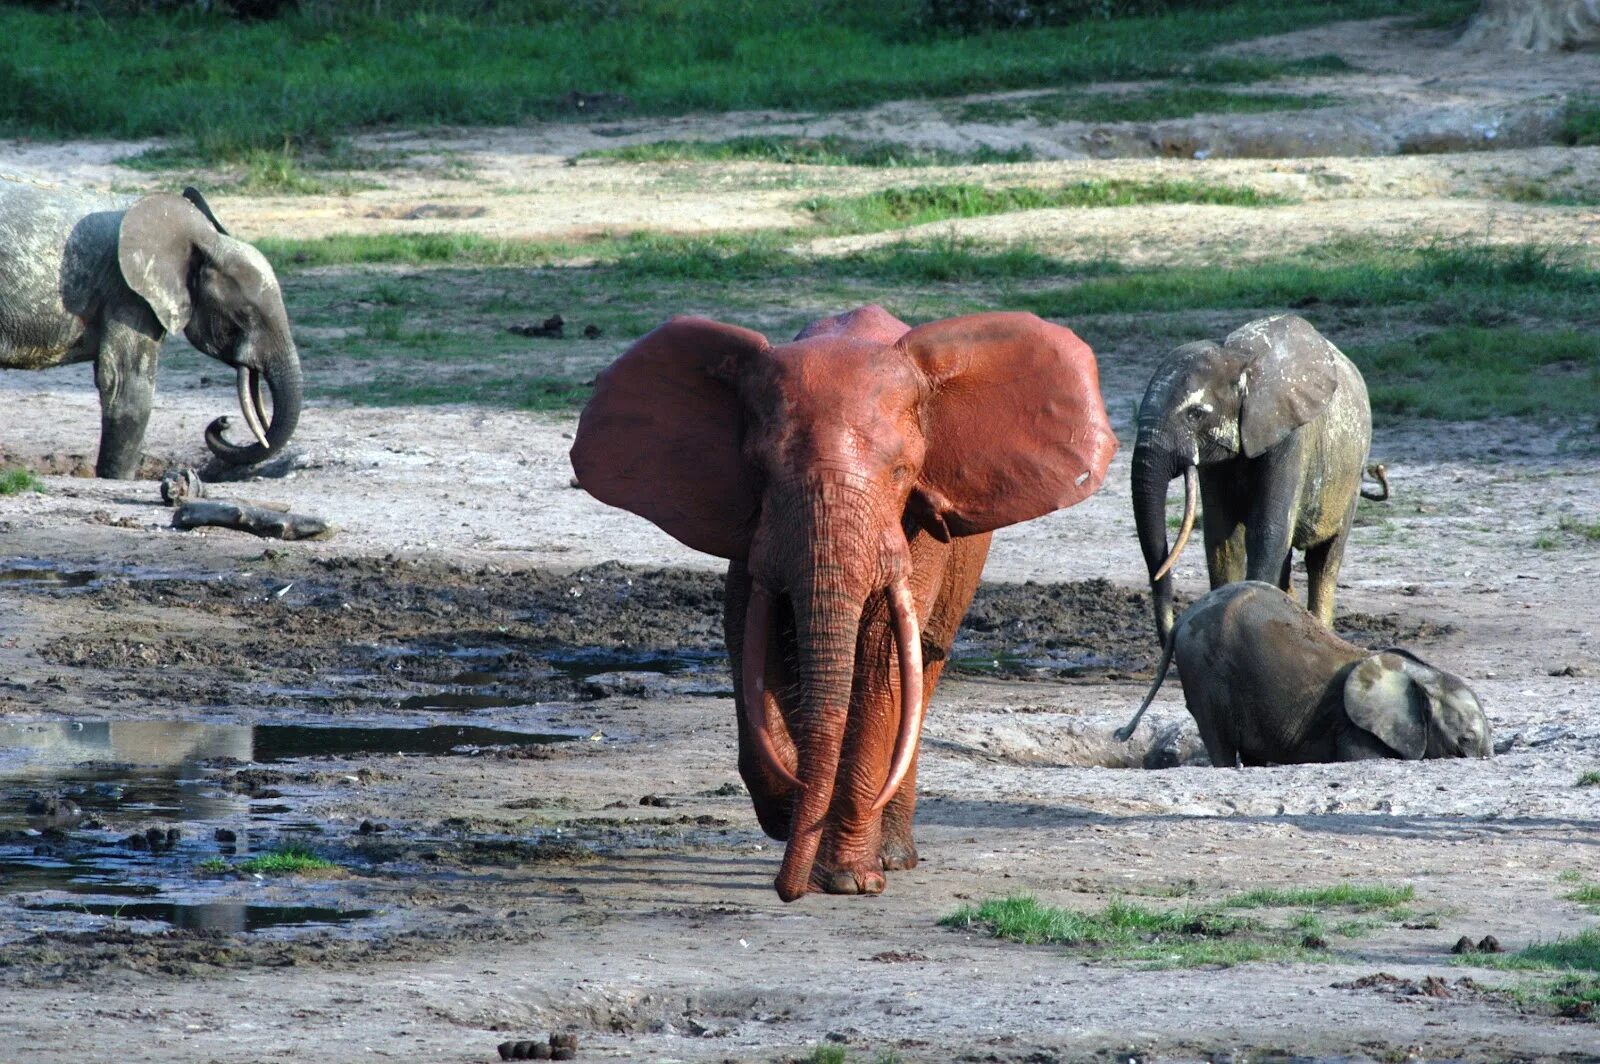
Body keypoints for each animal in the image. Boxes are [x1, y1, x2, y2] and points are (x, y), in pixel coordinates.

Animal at [0, 178, 302, 476]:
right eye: (246, 314)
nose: (224, 421)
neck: (200, 237)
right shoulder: (128, 293)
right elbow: (127, 386)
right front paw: (117, 479)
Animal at [572, 302, 1113, 902]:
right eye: (759, 470)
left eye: (902, 472)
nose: (786, 891)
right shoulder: (755, 536)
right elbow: (751, 642)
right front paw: (791, 812)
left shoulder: (912, 531)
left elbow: (880, 659)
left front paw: (849, 881)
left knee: (922, 666)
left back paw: (893, 857)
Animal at [1120, 582, 1491, 764]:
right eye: (1465, 740)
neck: (1417, 674)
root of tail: (1186, 614)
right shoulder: (1354, 728)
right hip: (1204, 671)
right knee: (1219, 740)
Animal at [1132, 313, 1382, 646]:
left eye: (1195, 414)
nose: (1169, 637)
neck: (1239, 360)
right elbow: (1223, 538)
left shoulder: (1290, 434)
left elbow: (1268, 530)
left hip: (1351, 472)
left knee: (1325, 558)